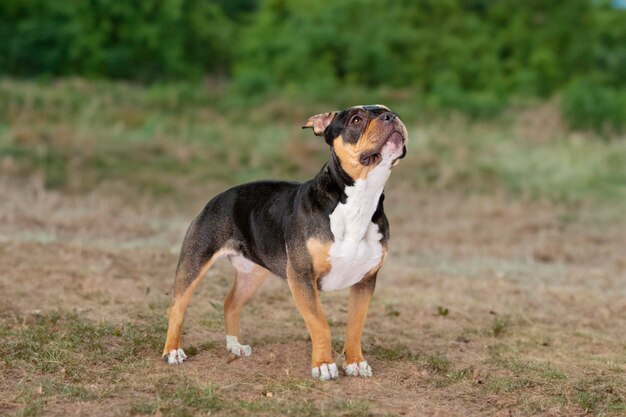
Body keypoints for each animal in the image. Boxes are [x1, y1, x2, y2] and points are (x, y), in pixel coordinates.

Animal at [161, 105, 404, 380]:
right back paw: (172, 351)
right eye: (356, 119)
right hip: (195, 261)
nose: (391, 117)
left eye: (388, 111)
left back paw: (235, 345)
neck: (360, 199)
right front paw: (323, 365)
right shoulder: (301, 276)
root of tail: (218, 196)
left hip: (251, 274)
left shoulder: (365, 281)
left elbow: (355, 324)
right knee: (177, 306)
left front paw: (355, 362)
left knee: (230, 303)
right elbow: (320, 323)